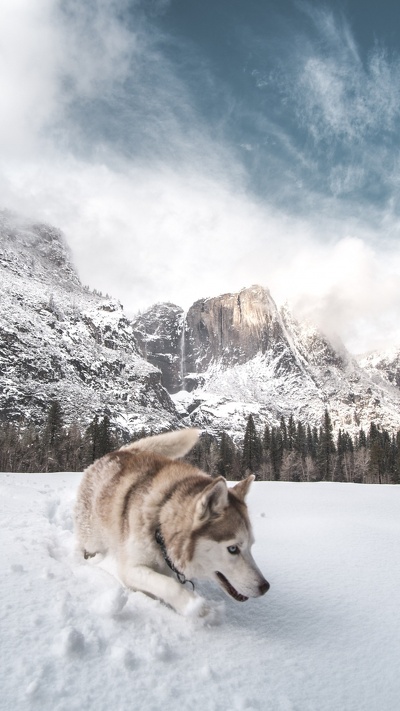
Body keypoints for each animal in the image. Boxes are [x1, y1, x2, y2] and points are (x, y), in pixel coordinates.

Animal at [75, 428, 268, 616]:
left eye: (251, 545)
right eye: (233, 549)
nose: (265, 587)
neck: (160, 519)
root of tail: (119, 452)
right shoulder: (130, 568)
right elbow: (170, 586)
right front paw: (196, 608)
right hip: (93, 538)